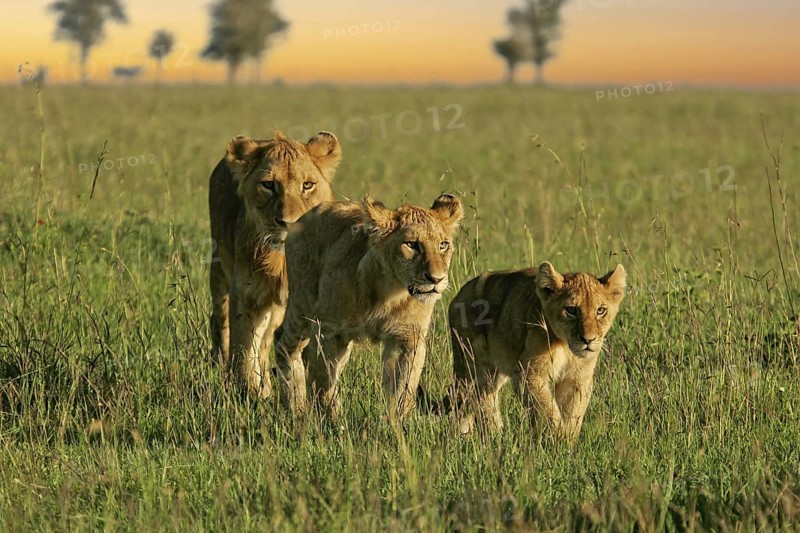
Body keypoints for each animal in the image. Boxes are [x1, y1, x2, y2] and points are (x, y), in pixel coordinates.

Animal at [208, 130, 342, 399]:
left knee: (266, 341)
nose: (288, 223)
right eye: (268, 185)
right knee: (221, 327)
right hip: (219, 274)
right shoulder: (246, 295)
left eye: (307, 185)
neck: (281, 261)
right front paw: (247, 395)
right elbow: (243, 349)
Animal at [273, 194, 464, 419]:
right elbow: (324, 378)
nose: (436, 279)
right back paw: (296, 405)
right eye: (412, 244)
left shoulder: (407, 337)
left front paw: (398, 421)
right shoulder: (328, 330)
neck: (389, 292)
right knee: (283, 341)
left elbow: (403, 385)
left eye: (443, 245)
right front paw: (330, 419)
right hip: (302, 305)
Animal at [447, 261, 626, 442]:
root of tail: (459, 294)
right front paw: (558, 441)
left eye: (601, 310)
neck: (566, 345)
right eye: (571, 310)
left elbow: (572, 414)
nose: (588, 340)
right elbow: (547, 411)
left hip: (496, 372)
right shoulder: (529, 373)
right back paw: (483, 436)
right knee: (470, 397)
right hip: (473, 365)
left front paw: (568, 442)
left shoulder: (577, 379)